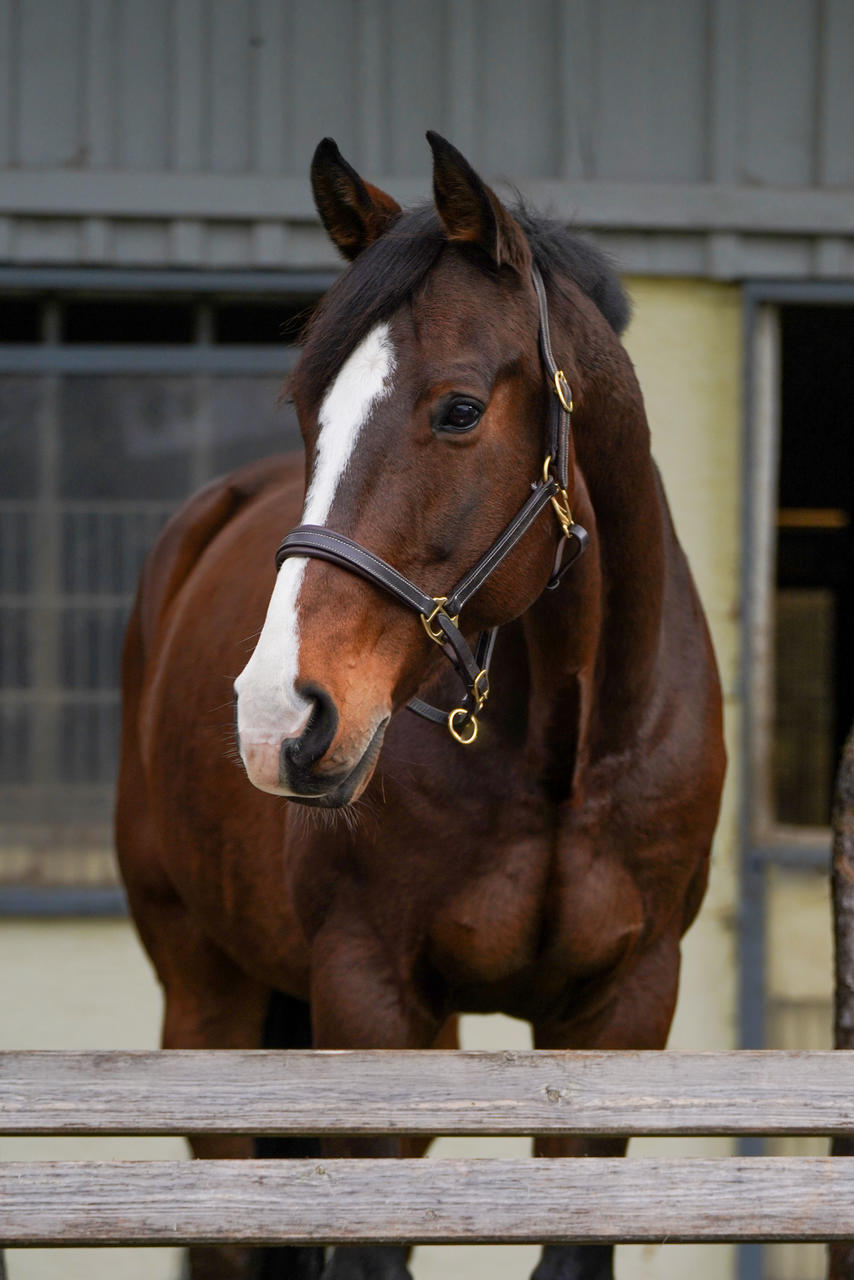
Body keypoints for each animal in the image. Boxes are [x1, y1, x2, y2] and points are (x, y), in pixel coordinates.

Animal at [115, 132, 727, 1280]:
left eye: (458, 409)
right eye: (308, 410)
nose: (278, 714)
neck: (568, 753)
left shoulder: (621, 1011)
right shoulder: (368, 998)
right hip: (205, 995)